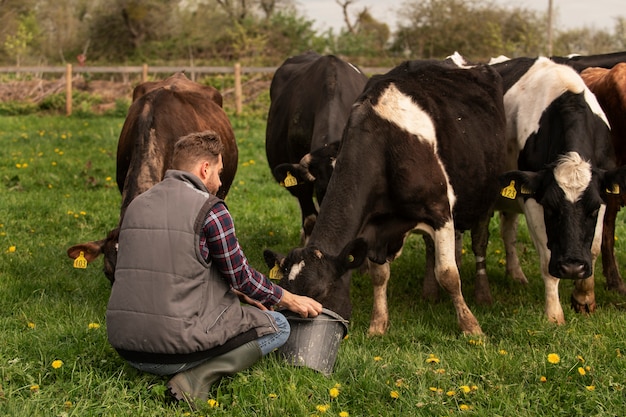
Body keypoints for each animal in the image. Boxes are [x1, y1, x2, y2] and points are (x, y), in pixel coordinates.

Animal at [490, 57, 626, 322]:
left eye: (593, 210)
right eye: (551, 209)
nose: (572, 267)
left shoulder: (604, 195)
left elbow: (595, 246)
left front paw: (584, 298)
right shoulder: (533, 199)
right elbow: (546, 257)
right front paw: (554, 315)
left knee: (508, 232)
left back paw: (516, 275)